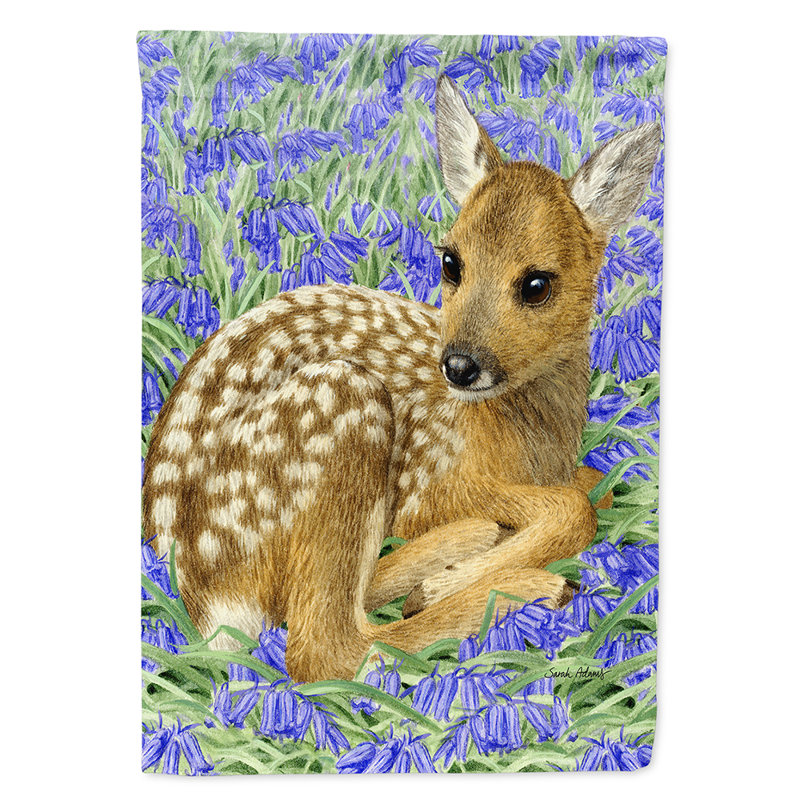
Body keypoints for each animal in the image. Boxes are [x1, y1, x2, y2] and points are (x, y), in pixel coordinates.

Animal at [142, 75, 661, 684]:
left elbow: (596, 488)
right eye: (451, 262)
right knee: (325, 648)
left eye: (537, 284)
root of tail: (202, 597)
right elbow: (573, 508)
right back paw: (518, 583)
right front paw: (450, 581)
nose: (458, 365)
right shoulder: (434, 484)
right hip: (342, 408)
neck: (532, 443)